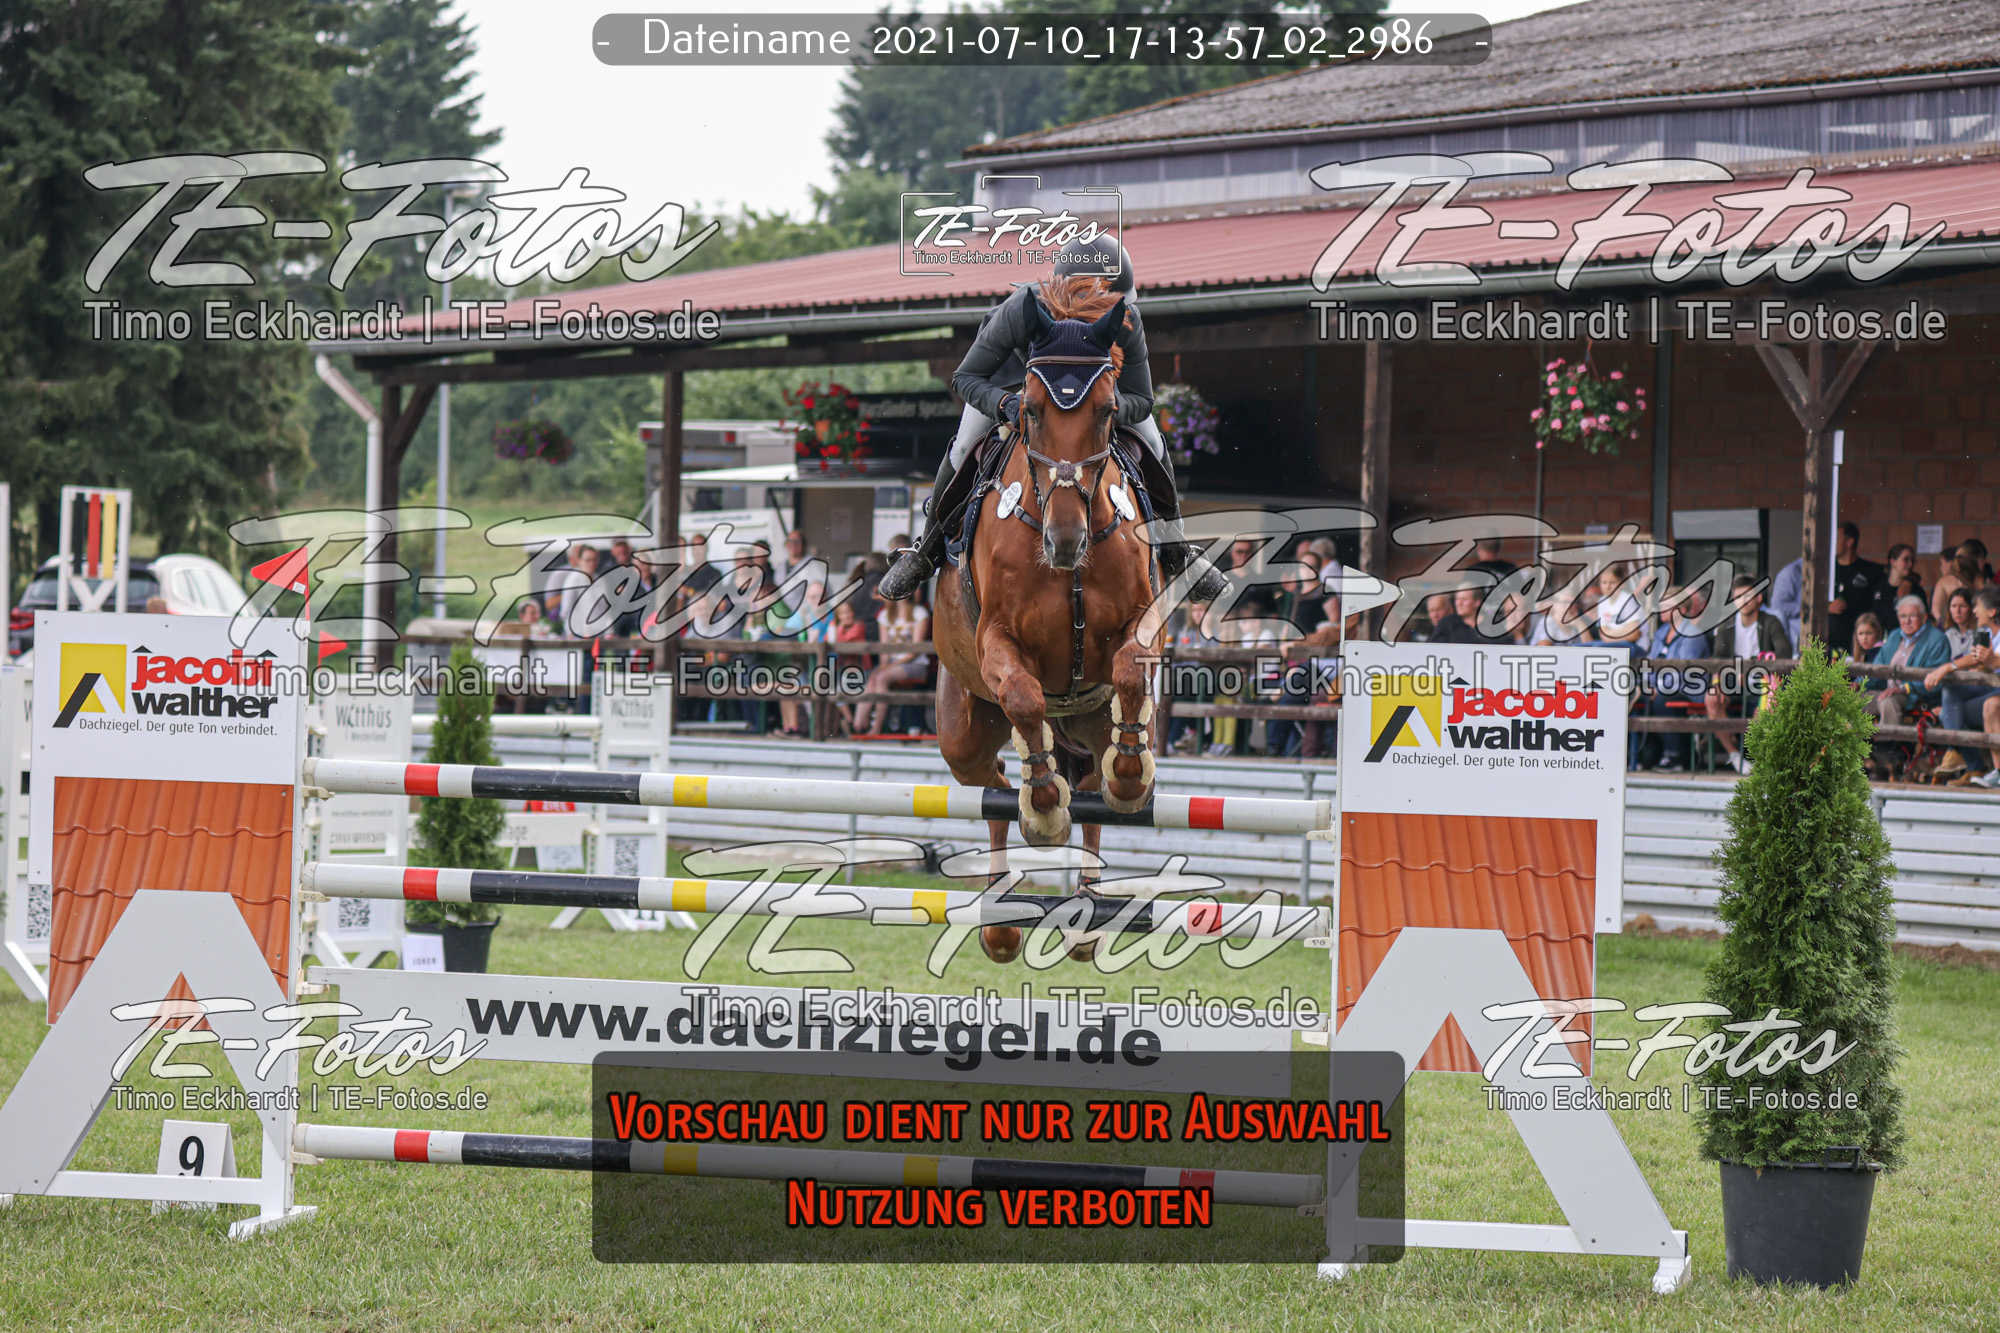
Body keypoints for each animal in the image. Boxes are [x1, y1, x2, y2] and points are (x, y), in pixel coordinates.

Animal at [931, 276, 1164, 963]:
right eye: (1030, 409)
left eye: (1109, 412)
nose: (1065, 543)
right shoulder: (998, 643)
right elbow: (1026, 699)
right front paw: (1043, 807)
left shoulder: (1142, 624)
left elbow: (1131, 672)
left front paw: (1129, 777)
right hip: (963, 726)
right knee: (991, 787)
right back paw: (1002, 919)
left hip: (1088, 719)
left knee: (1090, 780)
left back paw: (1089, 911)